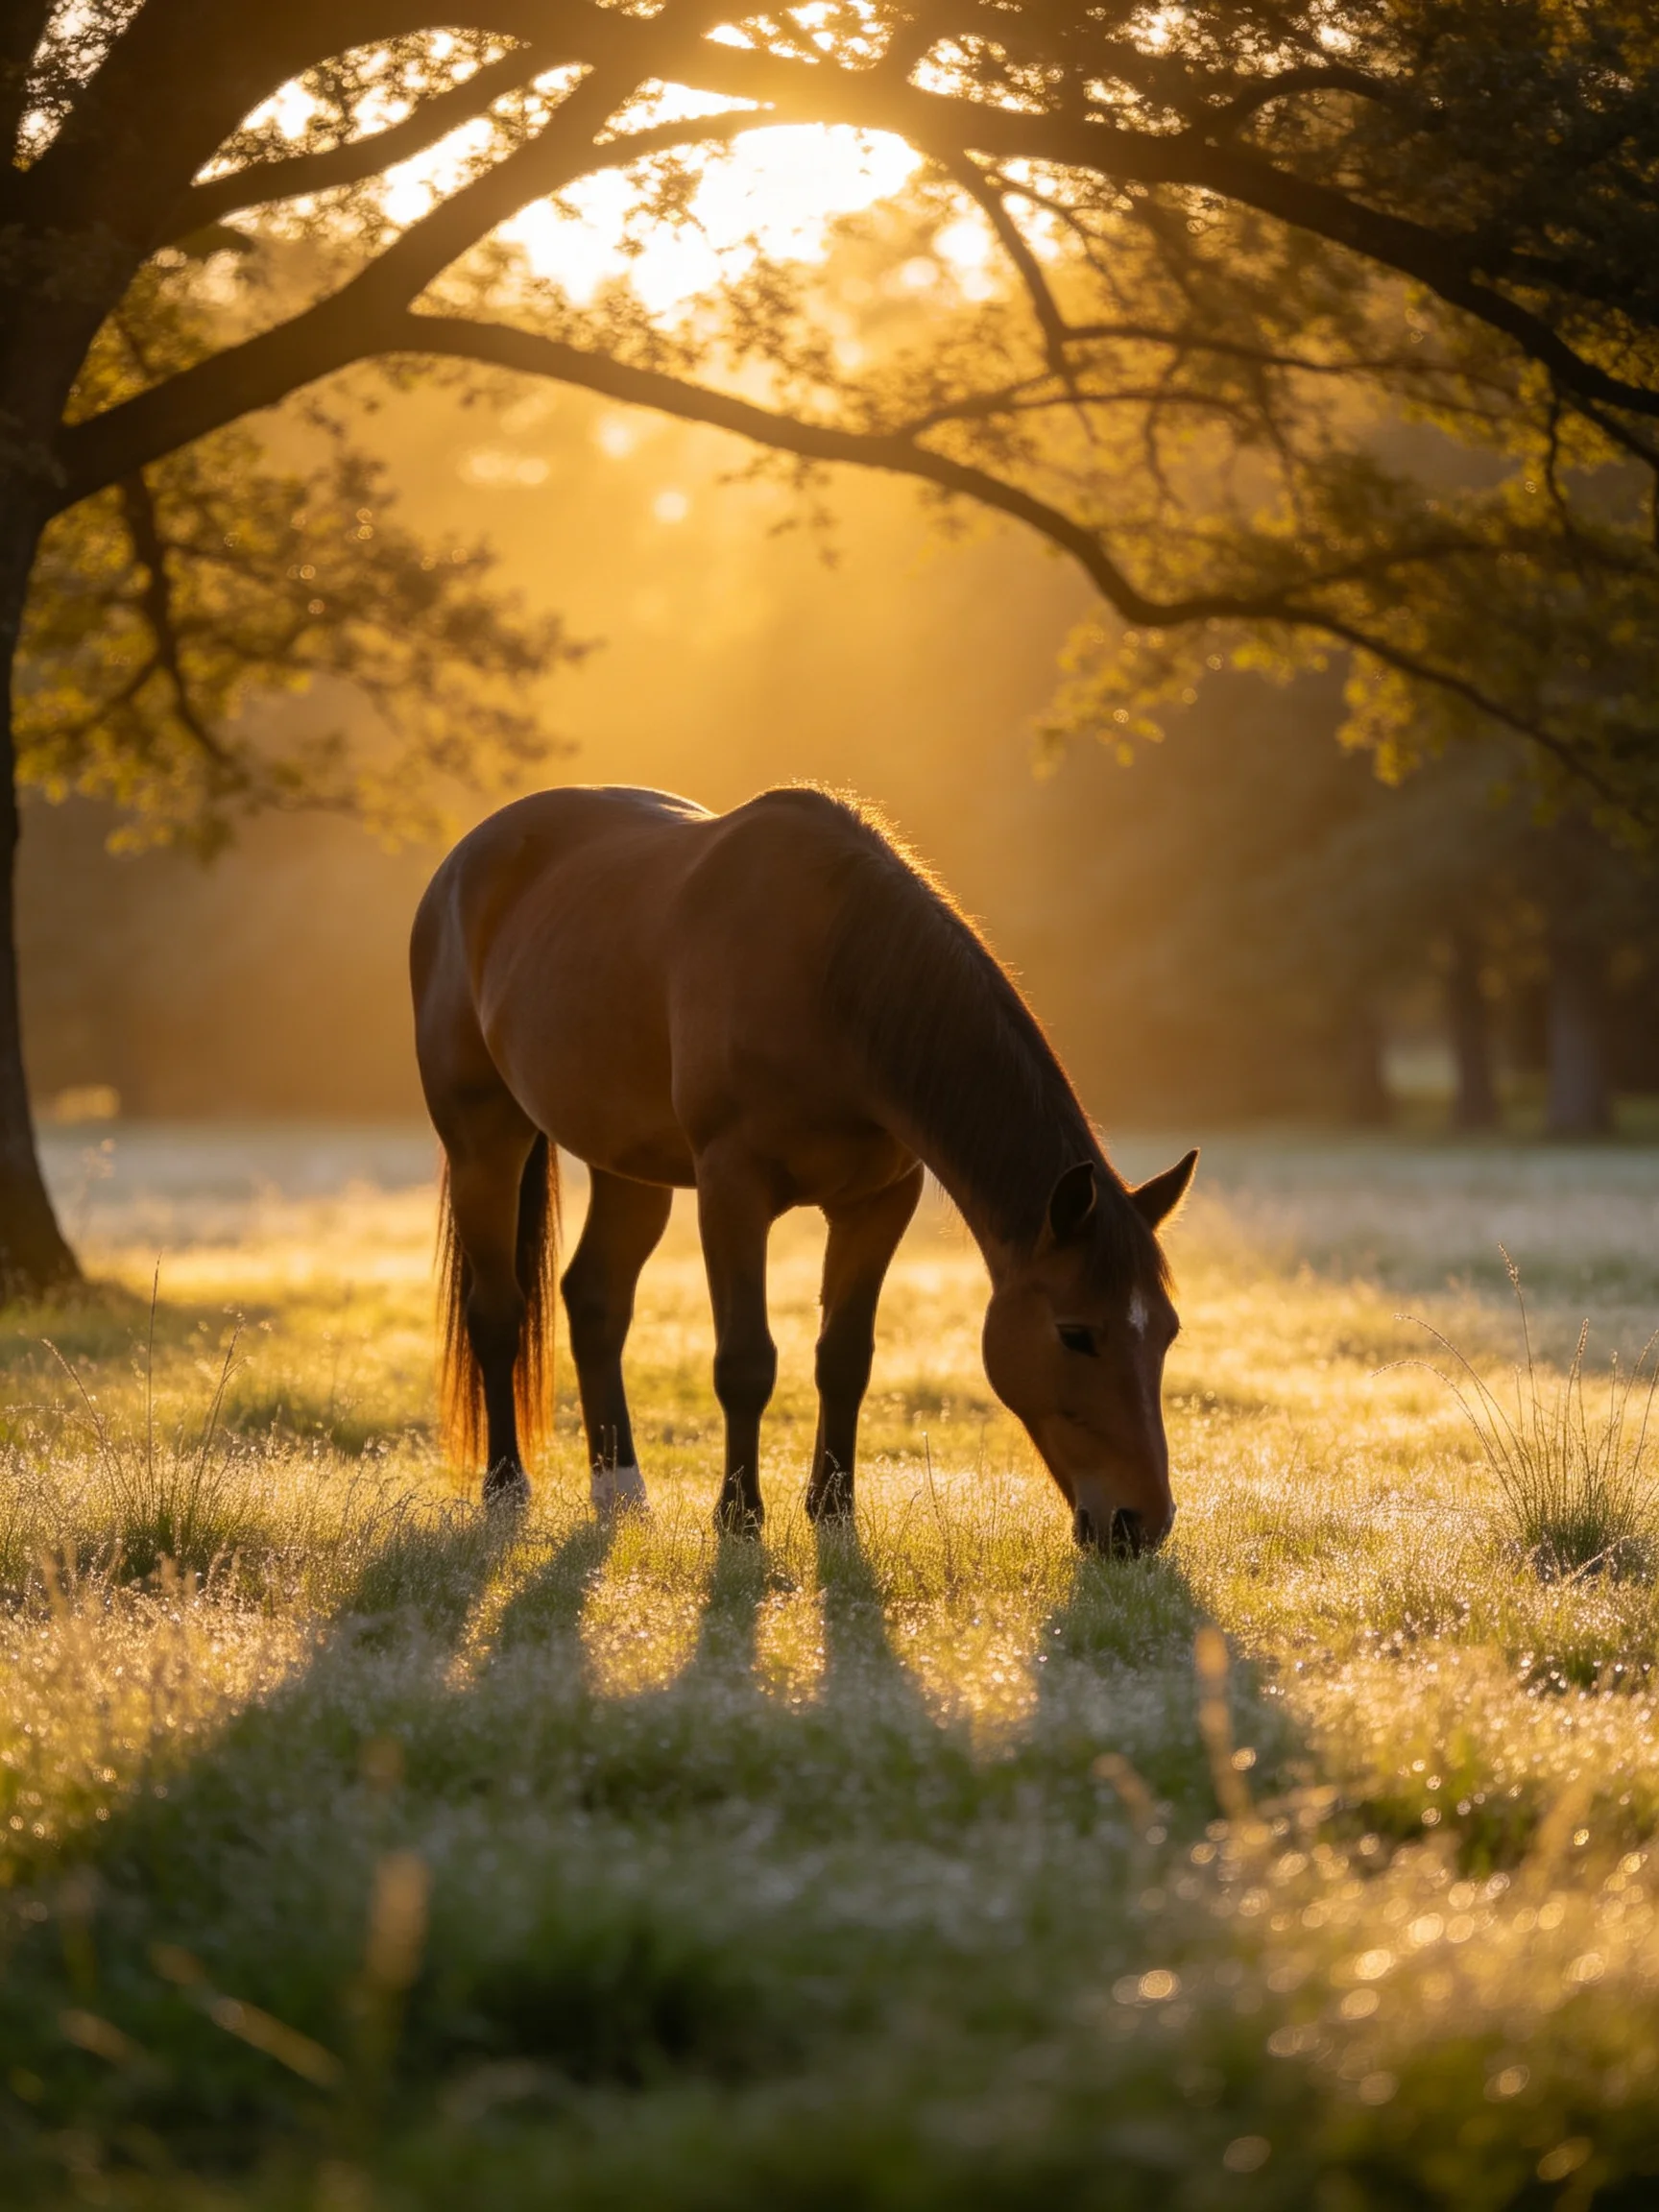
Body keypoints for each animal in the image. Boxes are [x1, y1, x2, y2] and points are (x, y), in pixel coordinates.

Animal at [410, 784, 1197, 1554]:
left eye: (1166, 1332)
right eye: (1075, 1333)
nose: (1140, 1524)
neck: (832, 983)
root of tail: (463, 863)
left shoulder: (881, 1201)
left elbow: (845, 1358)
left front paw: (834, 1511)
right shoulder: (732, 1190)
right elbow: (745, 1363)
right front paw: (739, 1517)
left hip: (630, 1168)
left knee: (596, 1300)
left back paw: (621, 1494)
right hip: (485, 1140)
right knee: (497, 1312)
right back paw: (506, 1487)